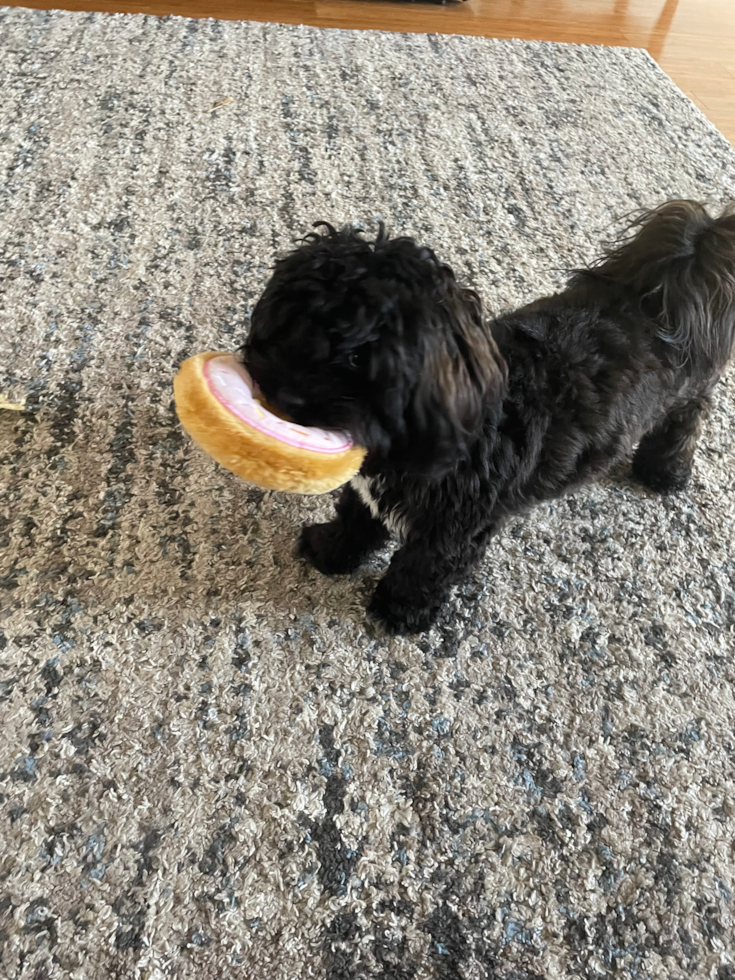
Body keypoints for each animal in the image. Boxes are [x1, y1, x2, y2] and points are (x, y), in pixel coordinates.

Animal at [243, 206, 735, 636]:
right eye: (288, 319)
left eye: (358, 357)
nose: (283, 391)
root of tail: (663, 290)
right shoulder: (370, 496)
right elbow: (354, 522)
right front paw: (329, 551)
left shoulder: (455, 531)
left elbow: (421, 569)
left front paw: (398, 612)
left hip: (683, 397)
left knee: (687, 419)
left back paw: (665, 470)